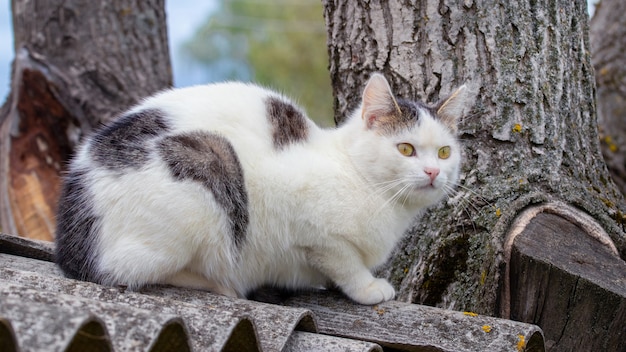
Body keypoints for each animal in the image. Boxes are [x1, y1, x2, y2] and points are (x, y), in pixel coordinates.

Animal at [54, 74, 464, 306]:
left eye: (445, 152)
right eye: (406, 149)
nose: (432, 171)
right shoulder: (313, 229)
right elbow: (344, 262)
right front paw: (367, 288)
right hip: (210, 167)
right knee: (121, 269)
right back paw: (218, 284)